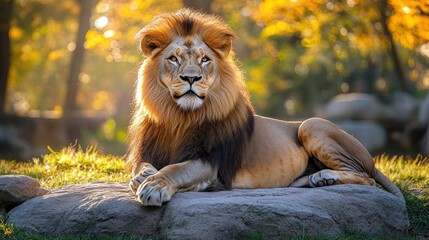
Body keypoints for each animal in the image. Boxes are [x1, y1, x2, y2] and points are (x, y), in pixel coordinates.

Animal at [127, 7, 404, 206]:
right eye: (173, 59)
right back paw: (314, 180)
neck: (179, 117)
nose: (191, 78)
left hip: (311, 125)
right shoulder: (150, 151)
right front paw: (143, 176)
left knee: (366, 178)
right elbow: (142, 166)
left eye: (204, 60)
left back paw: (326, 176)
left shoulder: (210, 162)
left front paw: (154, 186)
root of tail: (371, 159)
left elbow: (176, 169)